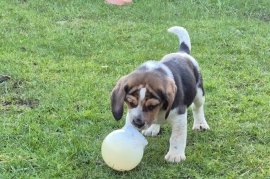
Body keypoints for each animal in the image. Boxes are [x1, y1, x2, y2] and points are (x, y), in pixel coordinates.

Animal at [110, 26, 210, 162]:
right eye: (130, 102)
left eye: (152, 106)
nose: (137, 123)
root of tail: (182, 53)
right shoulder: (130, 116)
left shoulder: (179, 116)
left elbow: (176, 138)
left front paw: (175, 155)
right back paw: (153, 129)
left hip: (199, 93)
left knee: (197, 108)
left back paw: (200, 124)